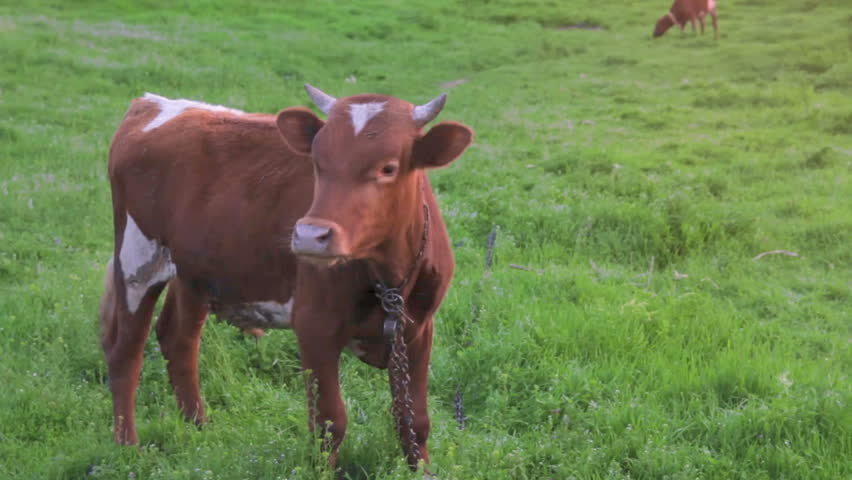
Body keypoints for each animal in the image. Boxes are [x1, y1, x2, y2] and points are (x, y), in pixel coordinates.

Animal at [99, 85, 473, 470]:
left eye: (388, 168)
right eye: (318, 163)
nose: (309, 235)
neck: (389, 277)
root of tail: (152, 103)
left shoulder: (419, 328)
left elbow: (413, 418)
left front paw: (421, 470)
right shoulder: (314, 326)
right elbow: (329, 422)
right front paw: (323, 472)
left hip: (193, 273)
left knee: (178, 338)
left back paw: (198, 427)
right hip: (136, 259)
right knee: (125, 350)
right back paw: (128, 446)